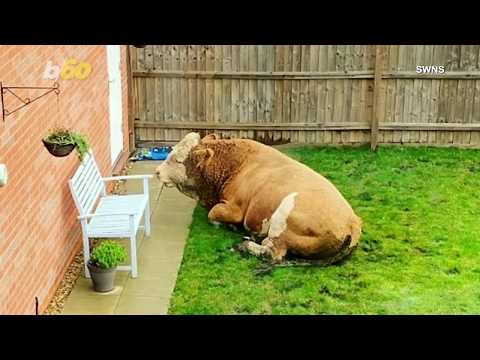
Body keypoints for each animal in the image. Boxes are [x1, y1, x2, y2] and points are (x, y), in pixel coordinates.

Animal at [156, 132, 362, 264]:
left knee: (272, 253)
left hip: (281, 220)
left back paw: (246, 244)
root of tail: (352, 222)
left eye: (176, 159)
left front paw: (228, 225)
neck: (236, 165)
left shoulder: (235, 209)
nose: (157, 171)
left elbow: (213, 214)